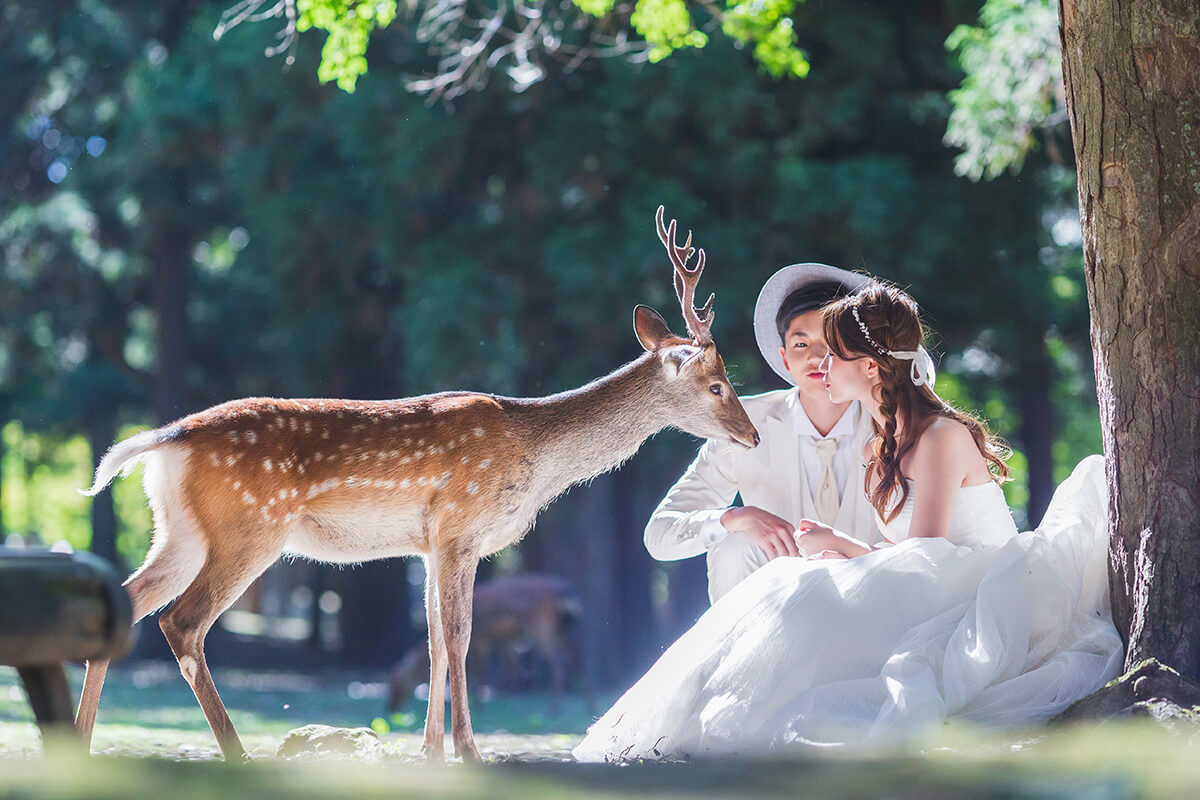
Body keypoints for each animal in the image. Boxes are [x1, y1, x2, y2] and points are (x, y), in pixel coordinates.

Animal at [75, 206, 758, 762]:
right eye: (718, 384)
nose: (751, 436)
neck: (534, 459)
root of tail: (167, 439)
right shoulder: (461, 525)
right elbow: (459, 638)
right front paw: (468, 751)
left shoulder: (428, 543)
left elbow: (431, 642)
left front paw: (430, 751)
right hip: (251, 527)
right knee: (183, 623)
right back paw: (236, 753)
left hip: (180, 531)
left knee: (129, 599)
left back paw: (76, 745)